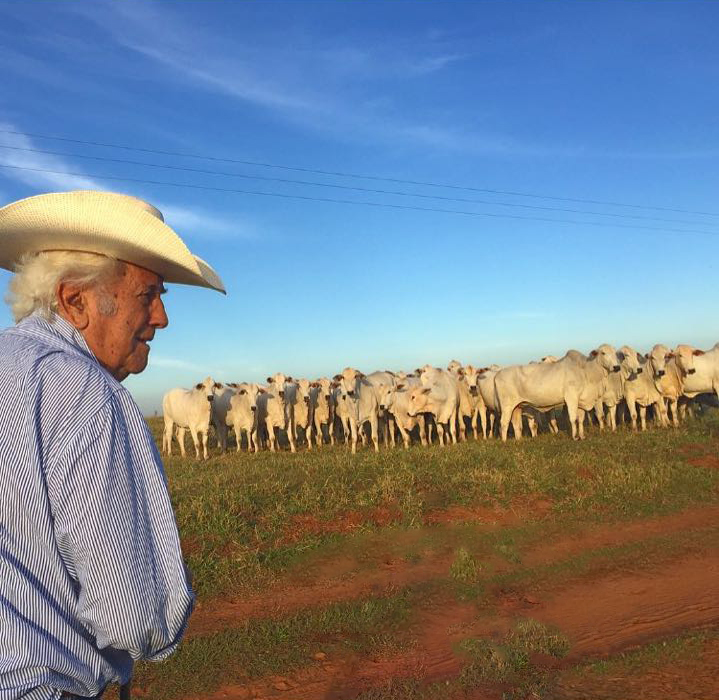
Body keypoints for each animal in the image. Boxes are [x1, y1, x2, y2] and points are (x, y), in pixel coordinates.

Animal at [496, 346, 624, 440]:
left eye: (615, 353)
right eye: (603, 353)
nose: (616, 367)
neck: (585, 371)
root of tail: (498, 373)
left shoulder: (581, 400)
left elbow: (581, 419)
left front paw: (582, 436)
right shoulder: (571, 398)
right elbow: (573, 418)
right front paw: (574, 437)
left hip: (517, 407)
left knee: (515, 423)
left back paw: (519, 440)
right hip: (507, 406)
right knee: (503, 423)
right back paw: (504, 442)